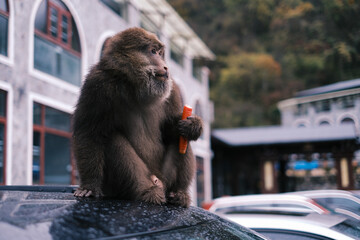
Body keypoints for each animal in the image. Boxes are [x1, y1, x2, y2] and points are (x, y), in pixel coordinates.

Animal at [71, 27, 204, 207]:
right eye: (153, 51)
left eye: (160, 53)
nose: (166, 66)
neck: (136, 85)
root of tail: (158, 182)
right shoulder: (97, 83)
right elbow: (89, 133)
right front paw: (90, 186)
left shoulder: (173, 89)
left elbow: (171, 131)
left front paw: (193, 126)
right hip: (121, 184)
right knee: (112, 138)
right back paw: (146, 192)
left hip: (165, 178)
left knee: (179, 138)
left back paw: (178, 193)